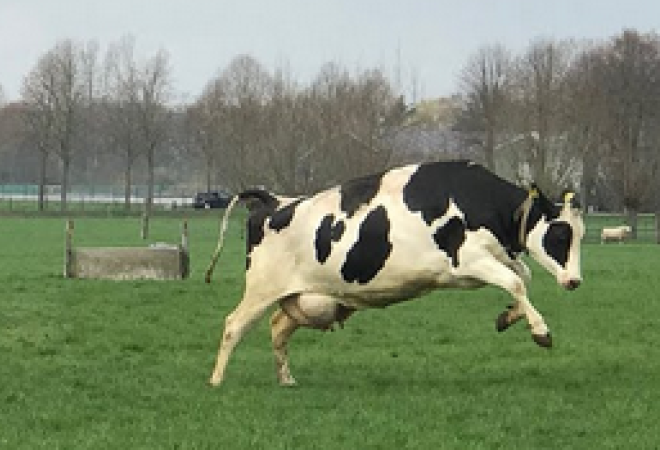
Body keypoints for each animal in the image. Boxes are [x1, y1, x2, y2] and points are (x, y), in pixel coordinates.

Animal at [205, 162, 584, 386]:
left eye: (579, 234)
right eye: (560, 235)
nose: (574, 281)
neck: (475, 199)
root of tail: (274, 201)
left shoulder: (495, 257)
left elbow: (522, 277)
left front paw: (508, 317)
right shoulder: (469, 259)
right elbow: (517, 281)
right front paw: (540, 331)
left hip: (304, 298)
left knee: (278, 329)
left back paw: (286, 380)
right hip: (261, 289)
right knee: (233, 325)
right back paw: (216, 381)